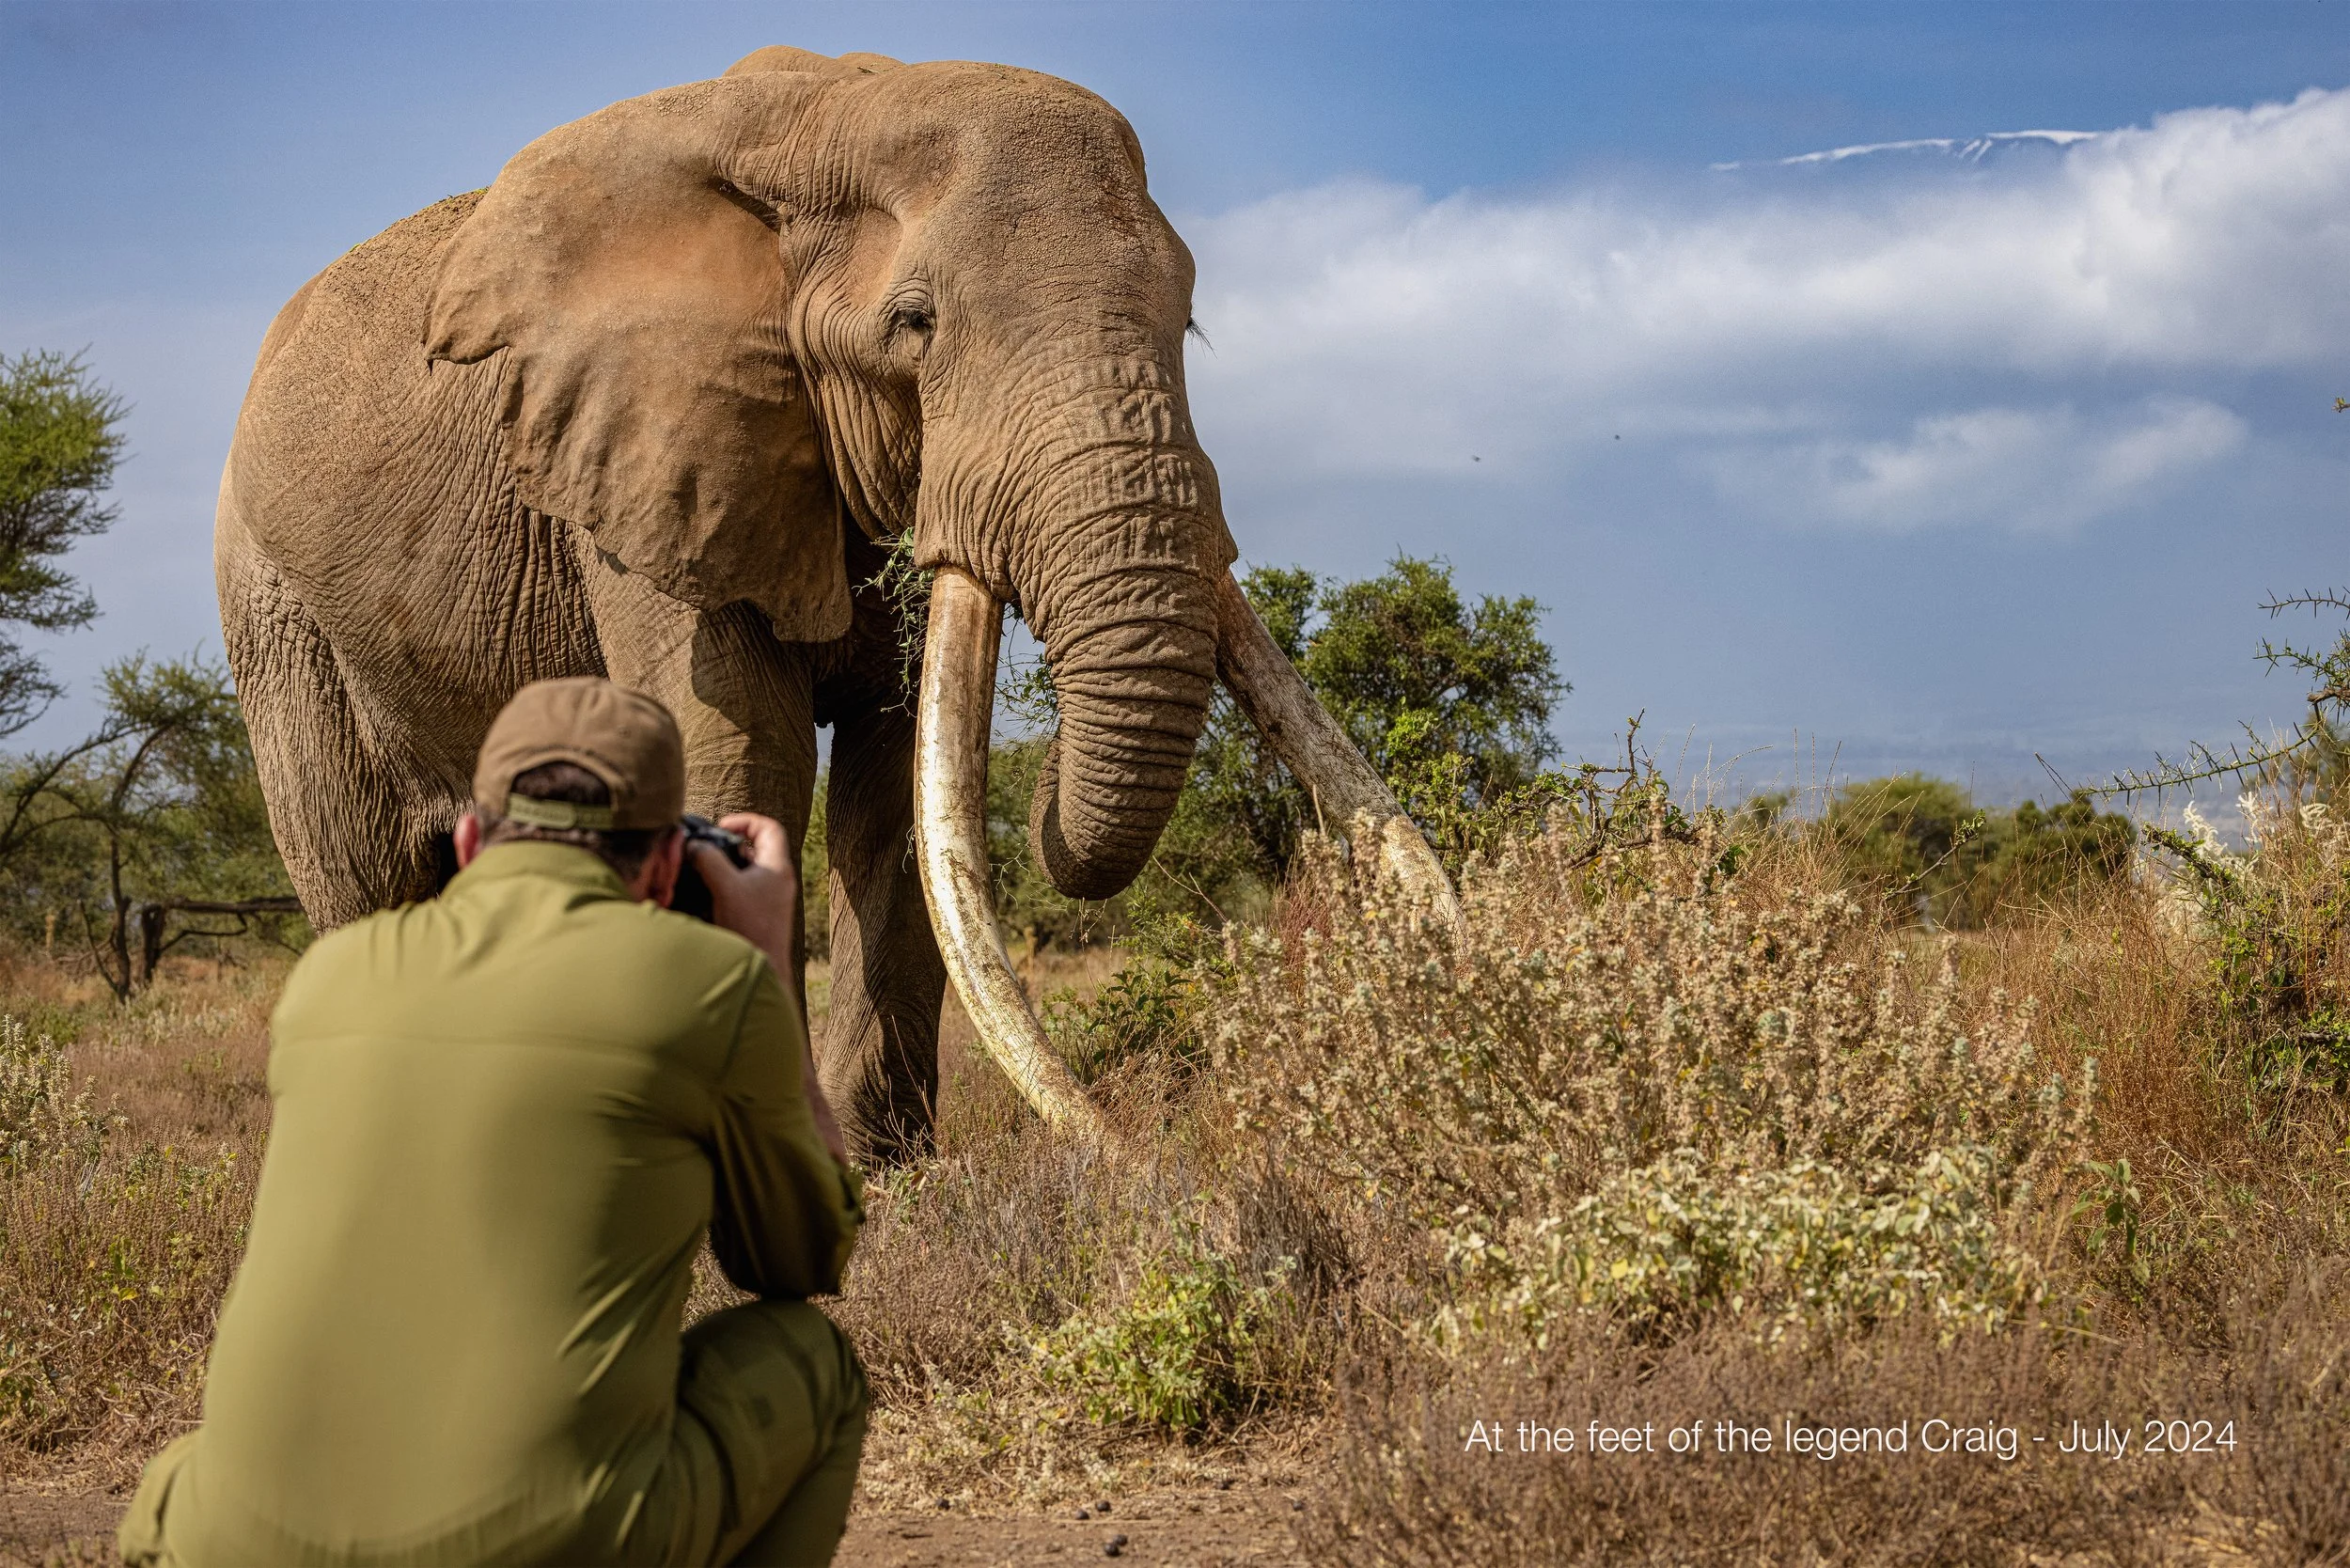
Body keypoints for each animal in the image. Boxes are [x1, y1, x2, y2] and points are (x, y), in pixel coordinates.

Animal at [218, 44, 1456, 1160]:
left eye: (1189, 322)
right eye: (915, 325)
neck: (829, 118)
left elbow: (896, 783)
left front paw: (889, 1177)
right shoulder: (641, 472)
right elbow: (740, 754)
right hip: (275, 611)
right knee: (365, 877)